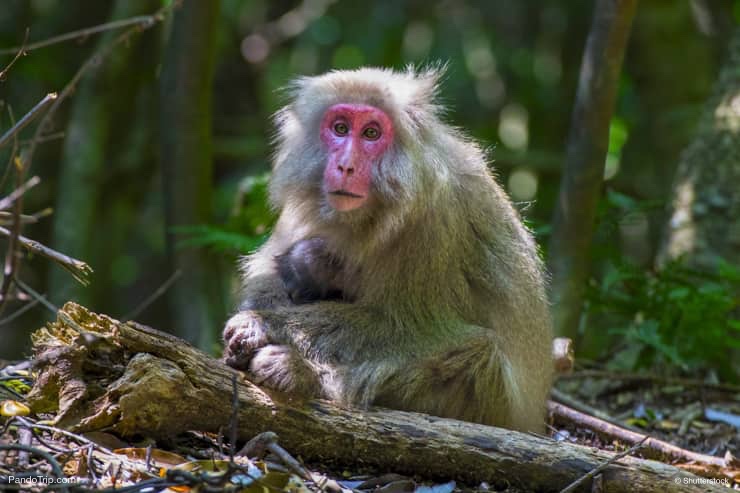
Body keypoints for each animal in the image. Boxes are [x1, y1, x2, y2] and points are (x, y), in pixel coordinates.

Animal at [223, 66, 552, 430]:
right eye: (340, 128)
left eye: (371, 133)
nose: (346, 166)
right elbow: (268, 273)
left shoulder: (433, 219)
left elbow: (409, 325)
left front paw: (264, 324)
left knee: (478, 351)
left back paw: (300, 374)